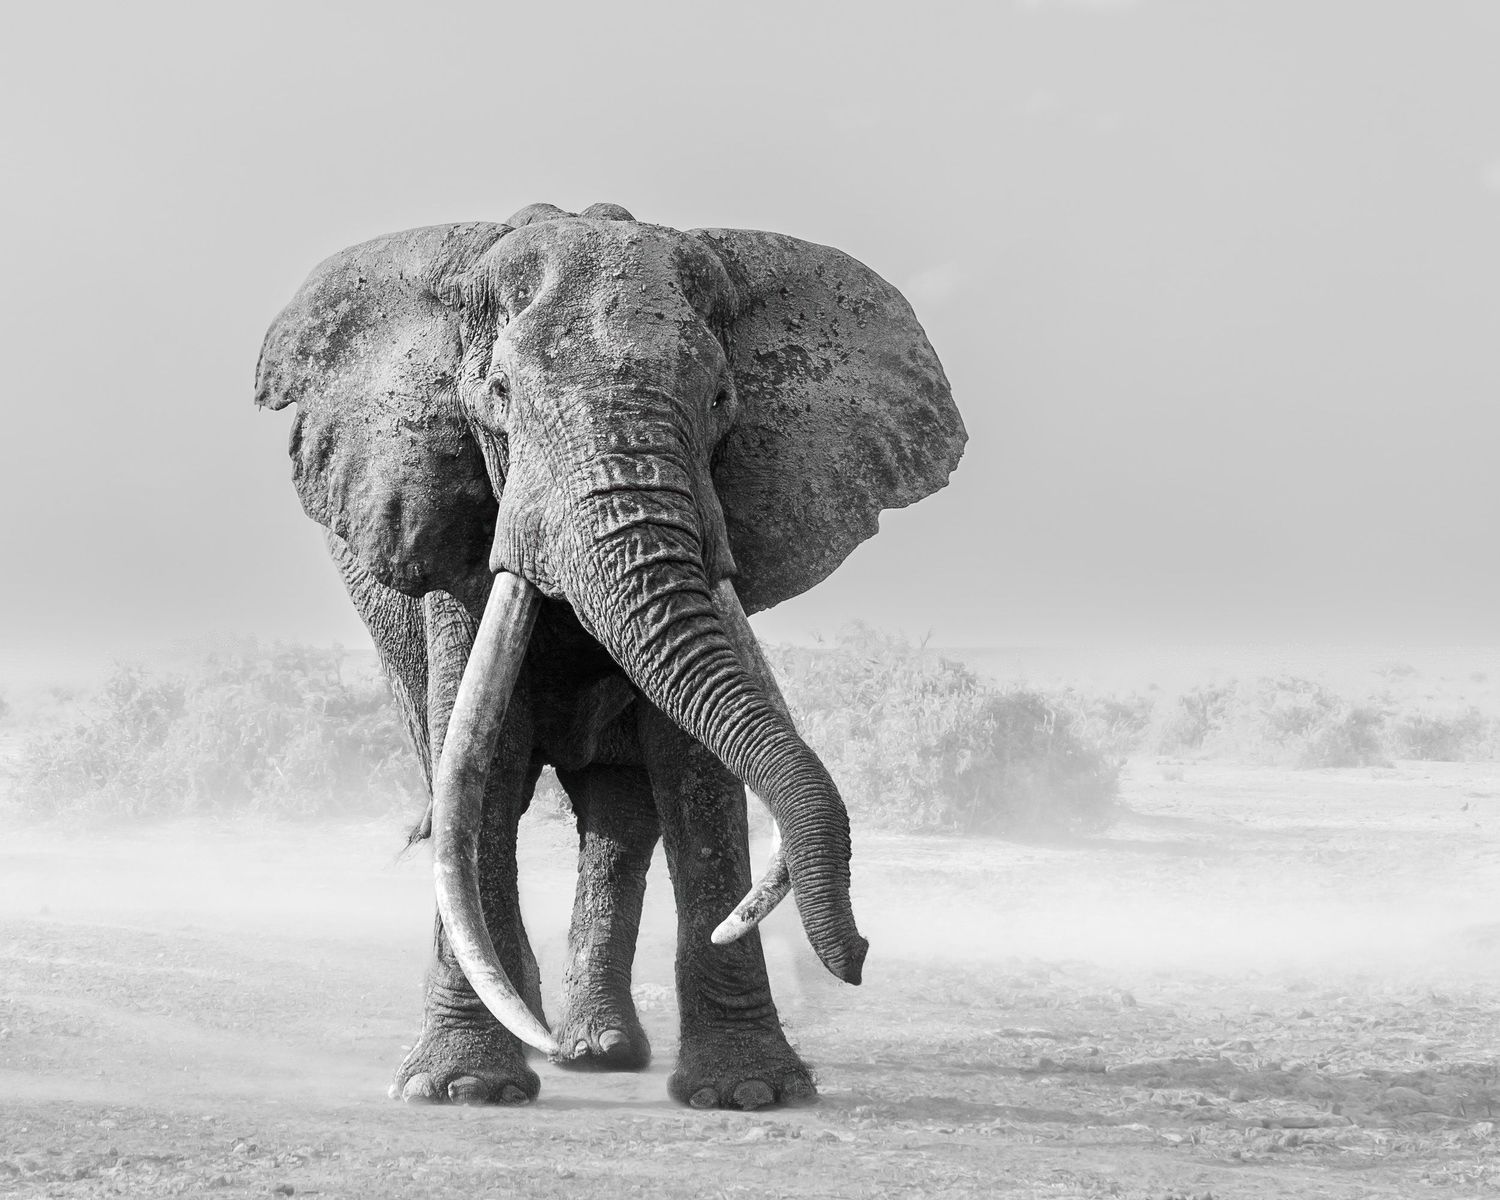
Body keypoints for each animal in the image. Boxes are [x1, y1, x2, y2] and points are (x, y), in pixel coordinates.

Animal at [254, 201, 965, 1109]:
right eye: (498, 396)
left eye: (722, 399)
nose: (863, 957)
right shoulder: (451, 524)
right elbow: (482, 760)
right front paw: (461, 1089)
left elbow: (693, 762)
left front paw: (746, 1094)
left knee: (618, 810)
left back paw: (595, 1049)